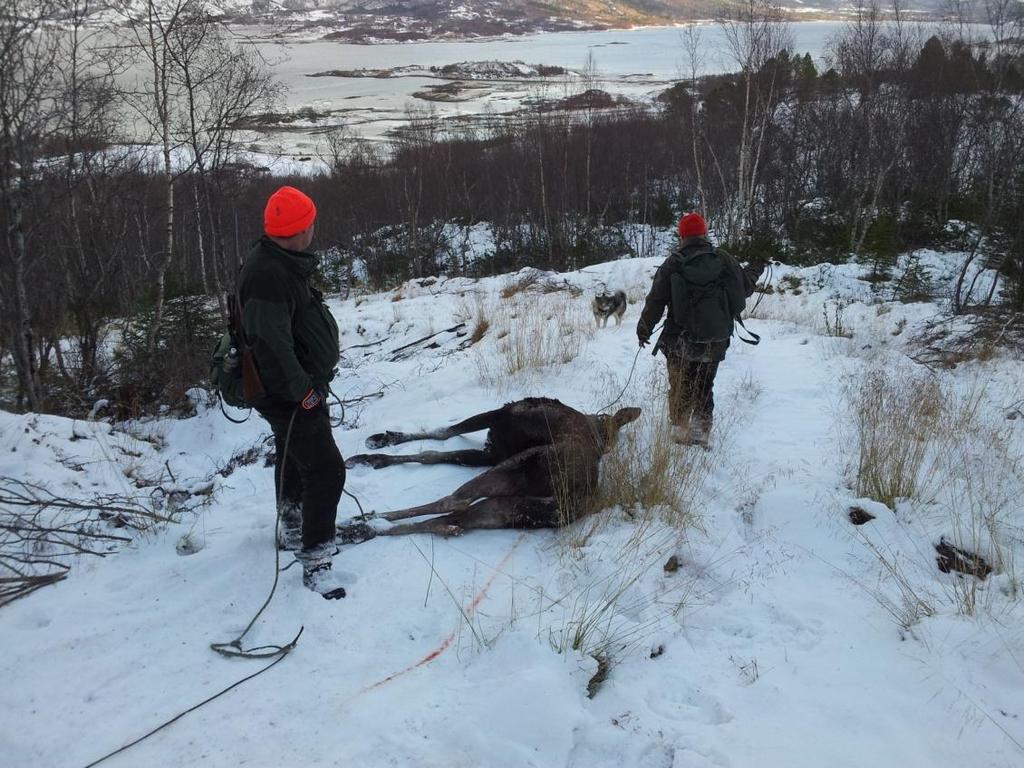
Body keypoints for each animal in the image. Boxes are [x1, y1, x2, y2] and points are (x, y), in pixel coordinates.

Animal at [339, 399, 634, 536]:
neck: (596, 427)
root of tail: (577, 492)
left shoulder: (497, 420)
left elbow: (443, 434)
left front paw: (380, 447)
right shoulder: (490, 452)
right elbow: (434, 452)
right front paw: (377, 452)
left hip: (513, 468)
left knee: (454, 502)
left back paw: (365, 521)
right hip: (514, 509)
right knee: (452, 517)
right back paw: (358, 529)